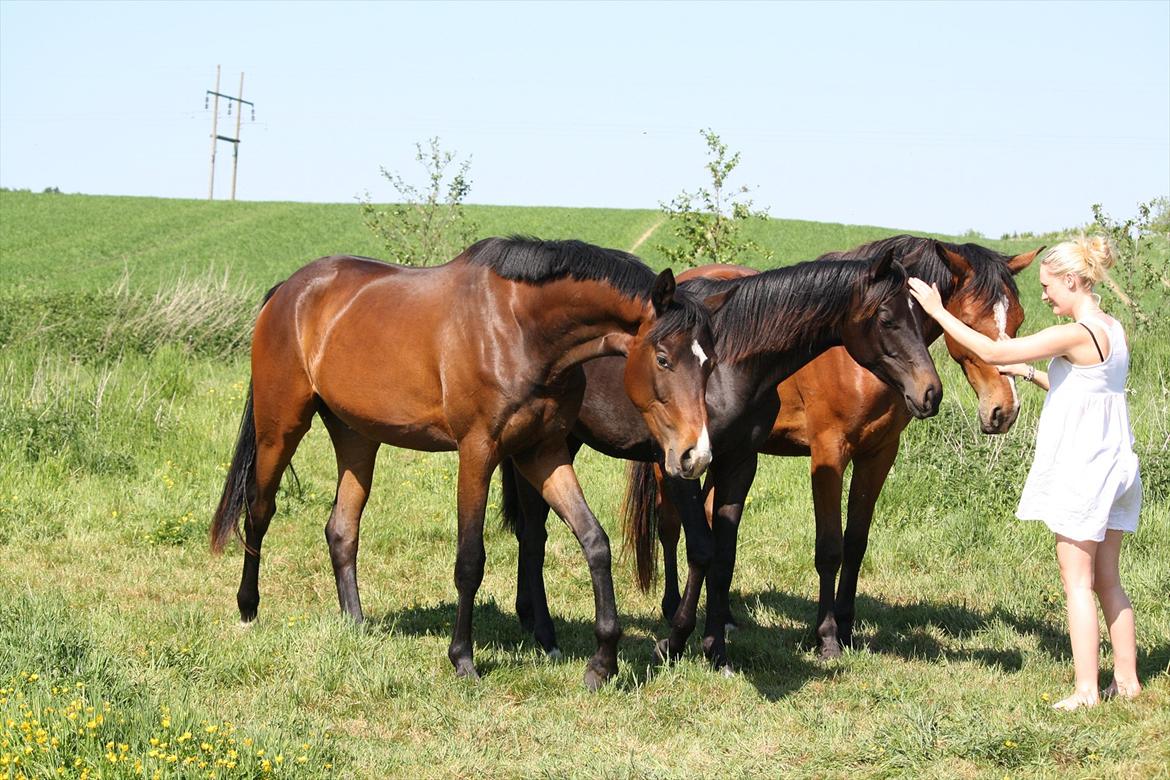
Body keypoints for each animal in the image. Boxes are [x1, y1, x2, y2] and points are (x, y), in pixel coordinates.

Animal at [211, 236, 720, 687]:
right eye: (663, 358)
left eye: (709, 363)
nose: (695, 455)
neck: (520, 329)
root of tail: (290, 291)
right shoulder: (478, 452)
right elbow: (470, 561)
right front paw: (463, 659)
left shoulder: (543, 452)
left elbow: (594, 542)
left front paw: (603, 663)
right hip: (280, 426)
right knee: (259, 510)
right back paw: (248, 608)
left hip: (356, 437)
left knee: (341, 528)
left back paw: (355, 624)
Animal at [503, 245, 940, 673]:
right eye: (887, 318)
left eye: (922, 318)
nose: (930, 391)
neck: (730, 367)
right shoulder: (678, 464)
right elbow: (701, 548)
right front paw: (674, 642)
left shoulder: (738, 463)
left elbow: (723, 555)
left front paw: (716, 650)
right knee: (533, 533)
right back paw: (543, 631)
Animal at [655, 236, 1048, 659]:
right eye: (971, 323)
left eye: (1019, 321)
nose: (1004, 411)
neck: (853, 358)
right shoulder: (829, 453)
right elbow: (830, 548)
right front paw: (826, 635)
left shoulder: (878, 454)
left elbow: (856, 542)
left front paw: (846, 627)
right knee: (669, 525)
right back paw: (671, 609)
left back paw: (725, 617)